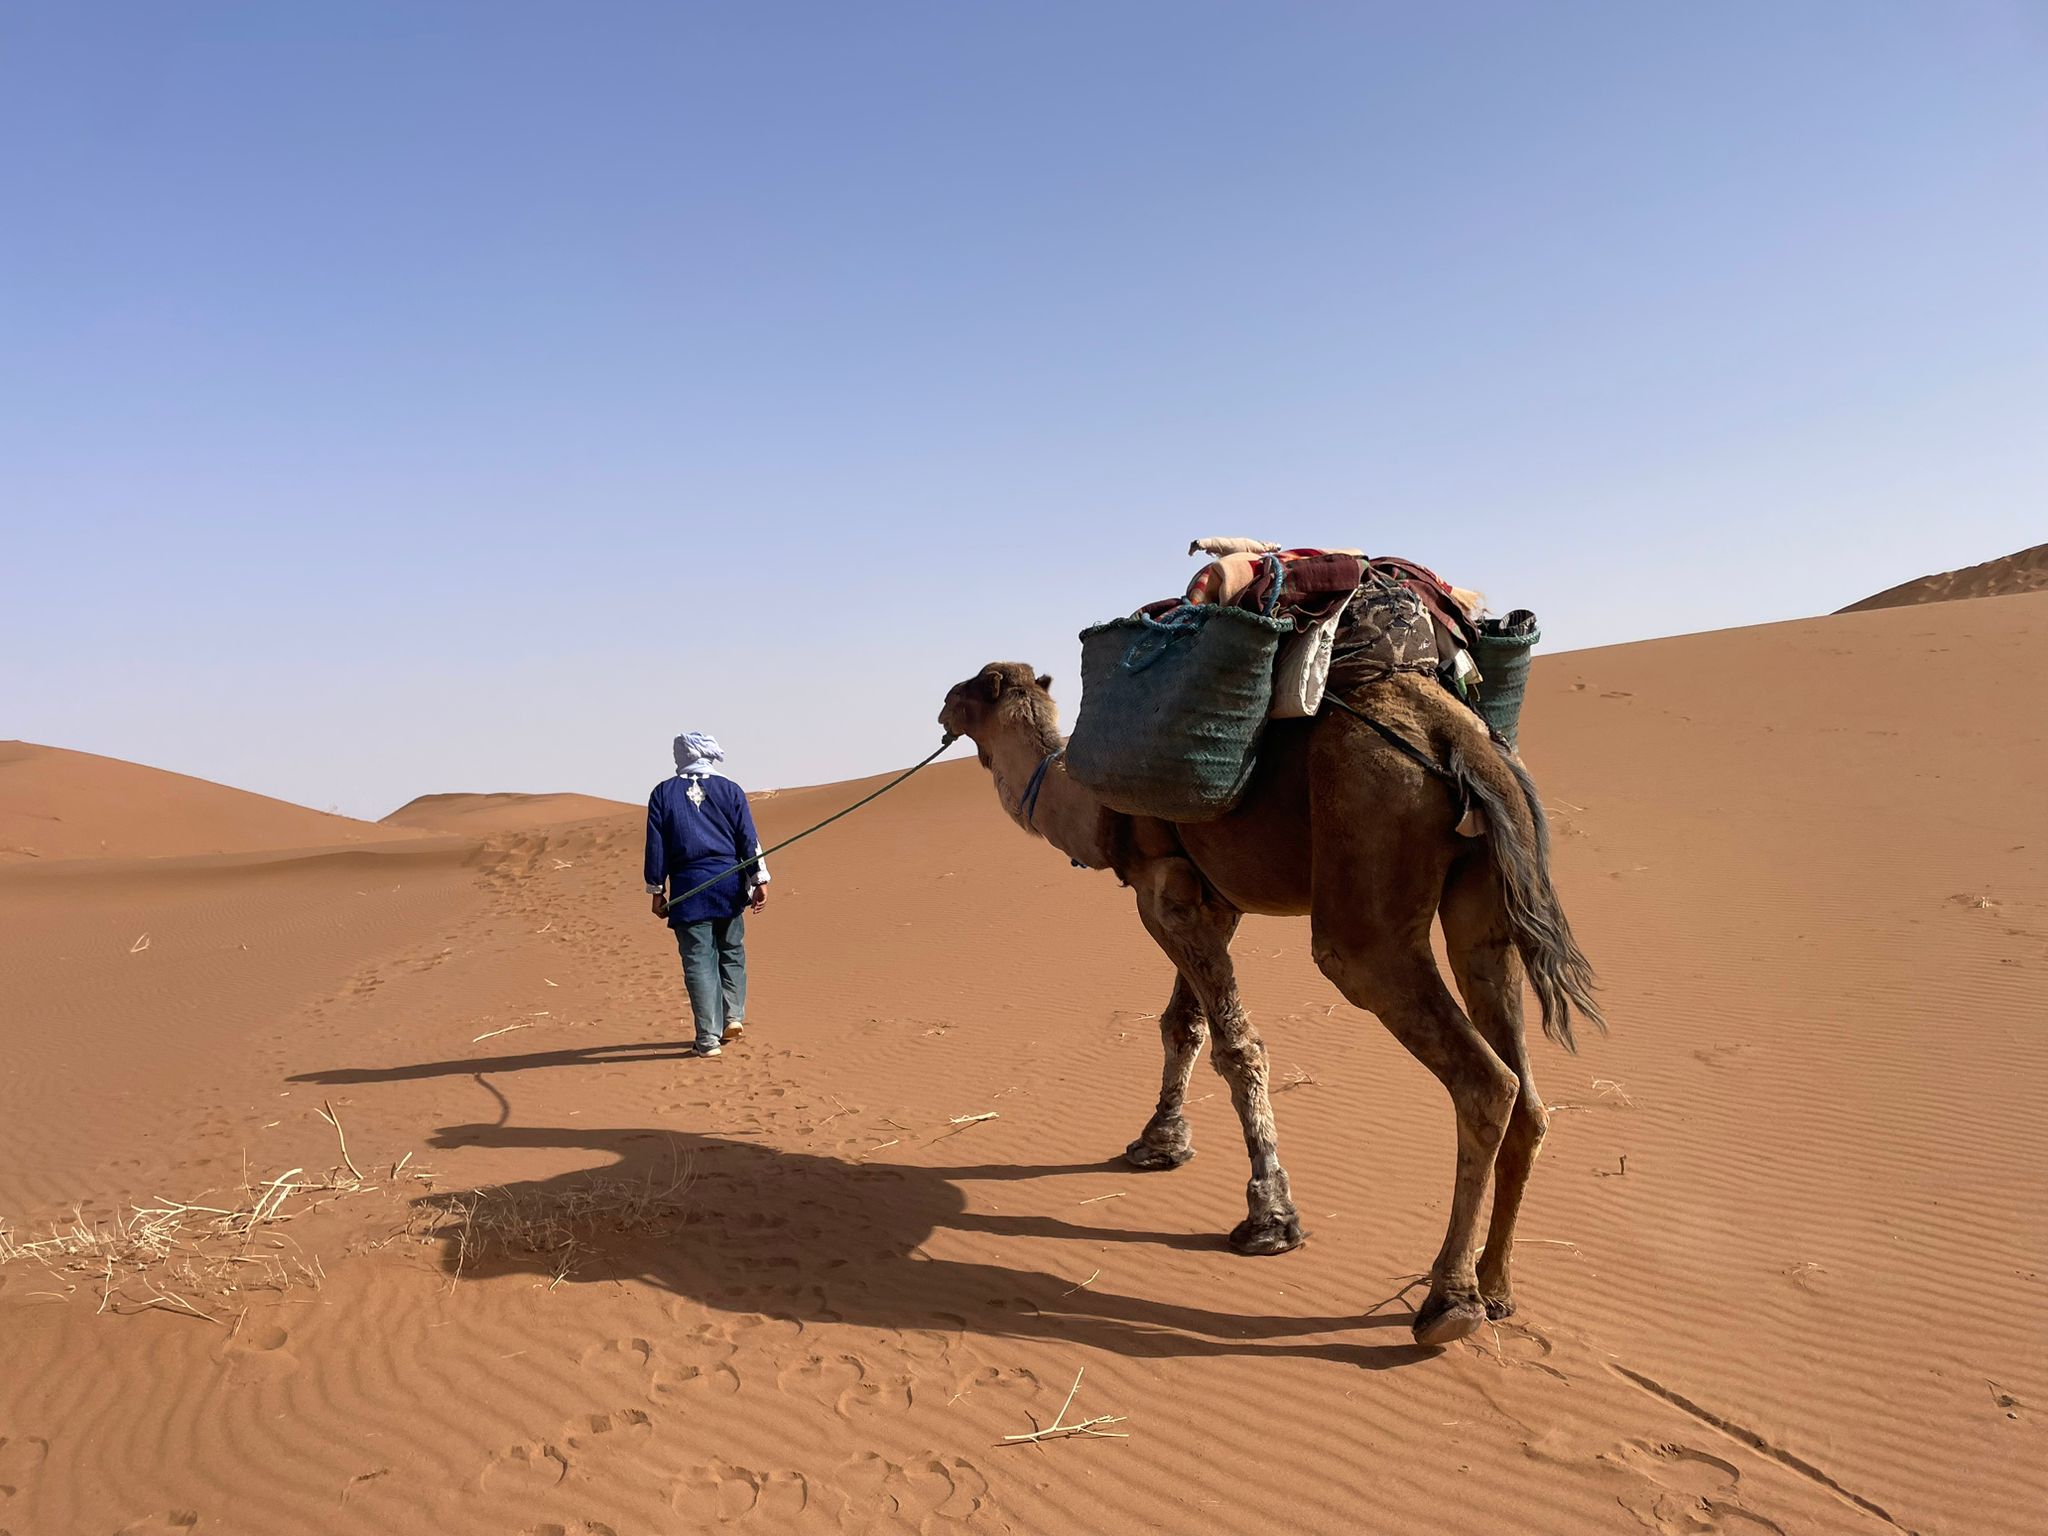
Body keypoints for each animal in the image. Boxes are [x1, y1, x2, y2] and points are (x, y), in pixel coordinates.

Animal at [938, 661, 1602, 1346]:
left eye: (973, 689)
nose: (943, 705)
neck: (1090, 812)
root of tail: (1460, 739)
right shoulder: (1211, 901)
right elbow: (1184, 1025)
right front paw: (1159, 1143)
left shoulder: (1163, 895)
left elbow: (1237, 1047)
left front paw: (1271, 1217)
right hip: (1486, 900)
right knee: (1524, 1085)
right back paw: (1496, 1290)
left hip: (1369, 854)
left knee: (1481, 1077)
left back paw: (1449, 1303)